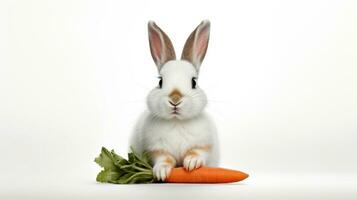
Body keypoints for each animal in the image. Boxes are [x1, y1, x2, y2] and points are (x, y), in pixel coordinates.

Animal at [129, 20, 218, 181]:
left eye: (194, 82)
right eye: (160, 81)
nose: (175, 99)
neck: (177, 122)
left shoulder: (204, 145)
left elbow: (197, 152)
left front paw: (192, 163)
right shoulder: (157, 149)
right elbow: (164, 159)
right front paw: (161, 172)